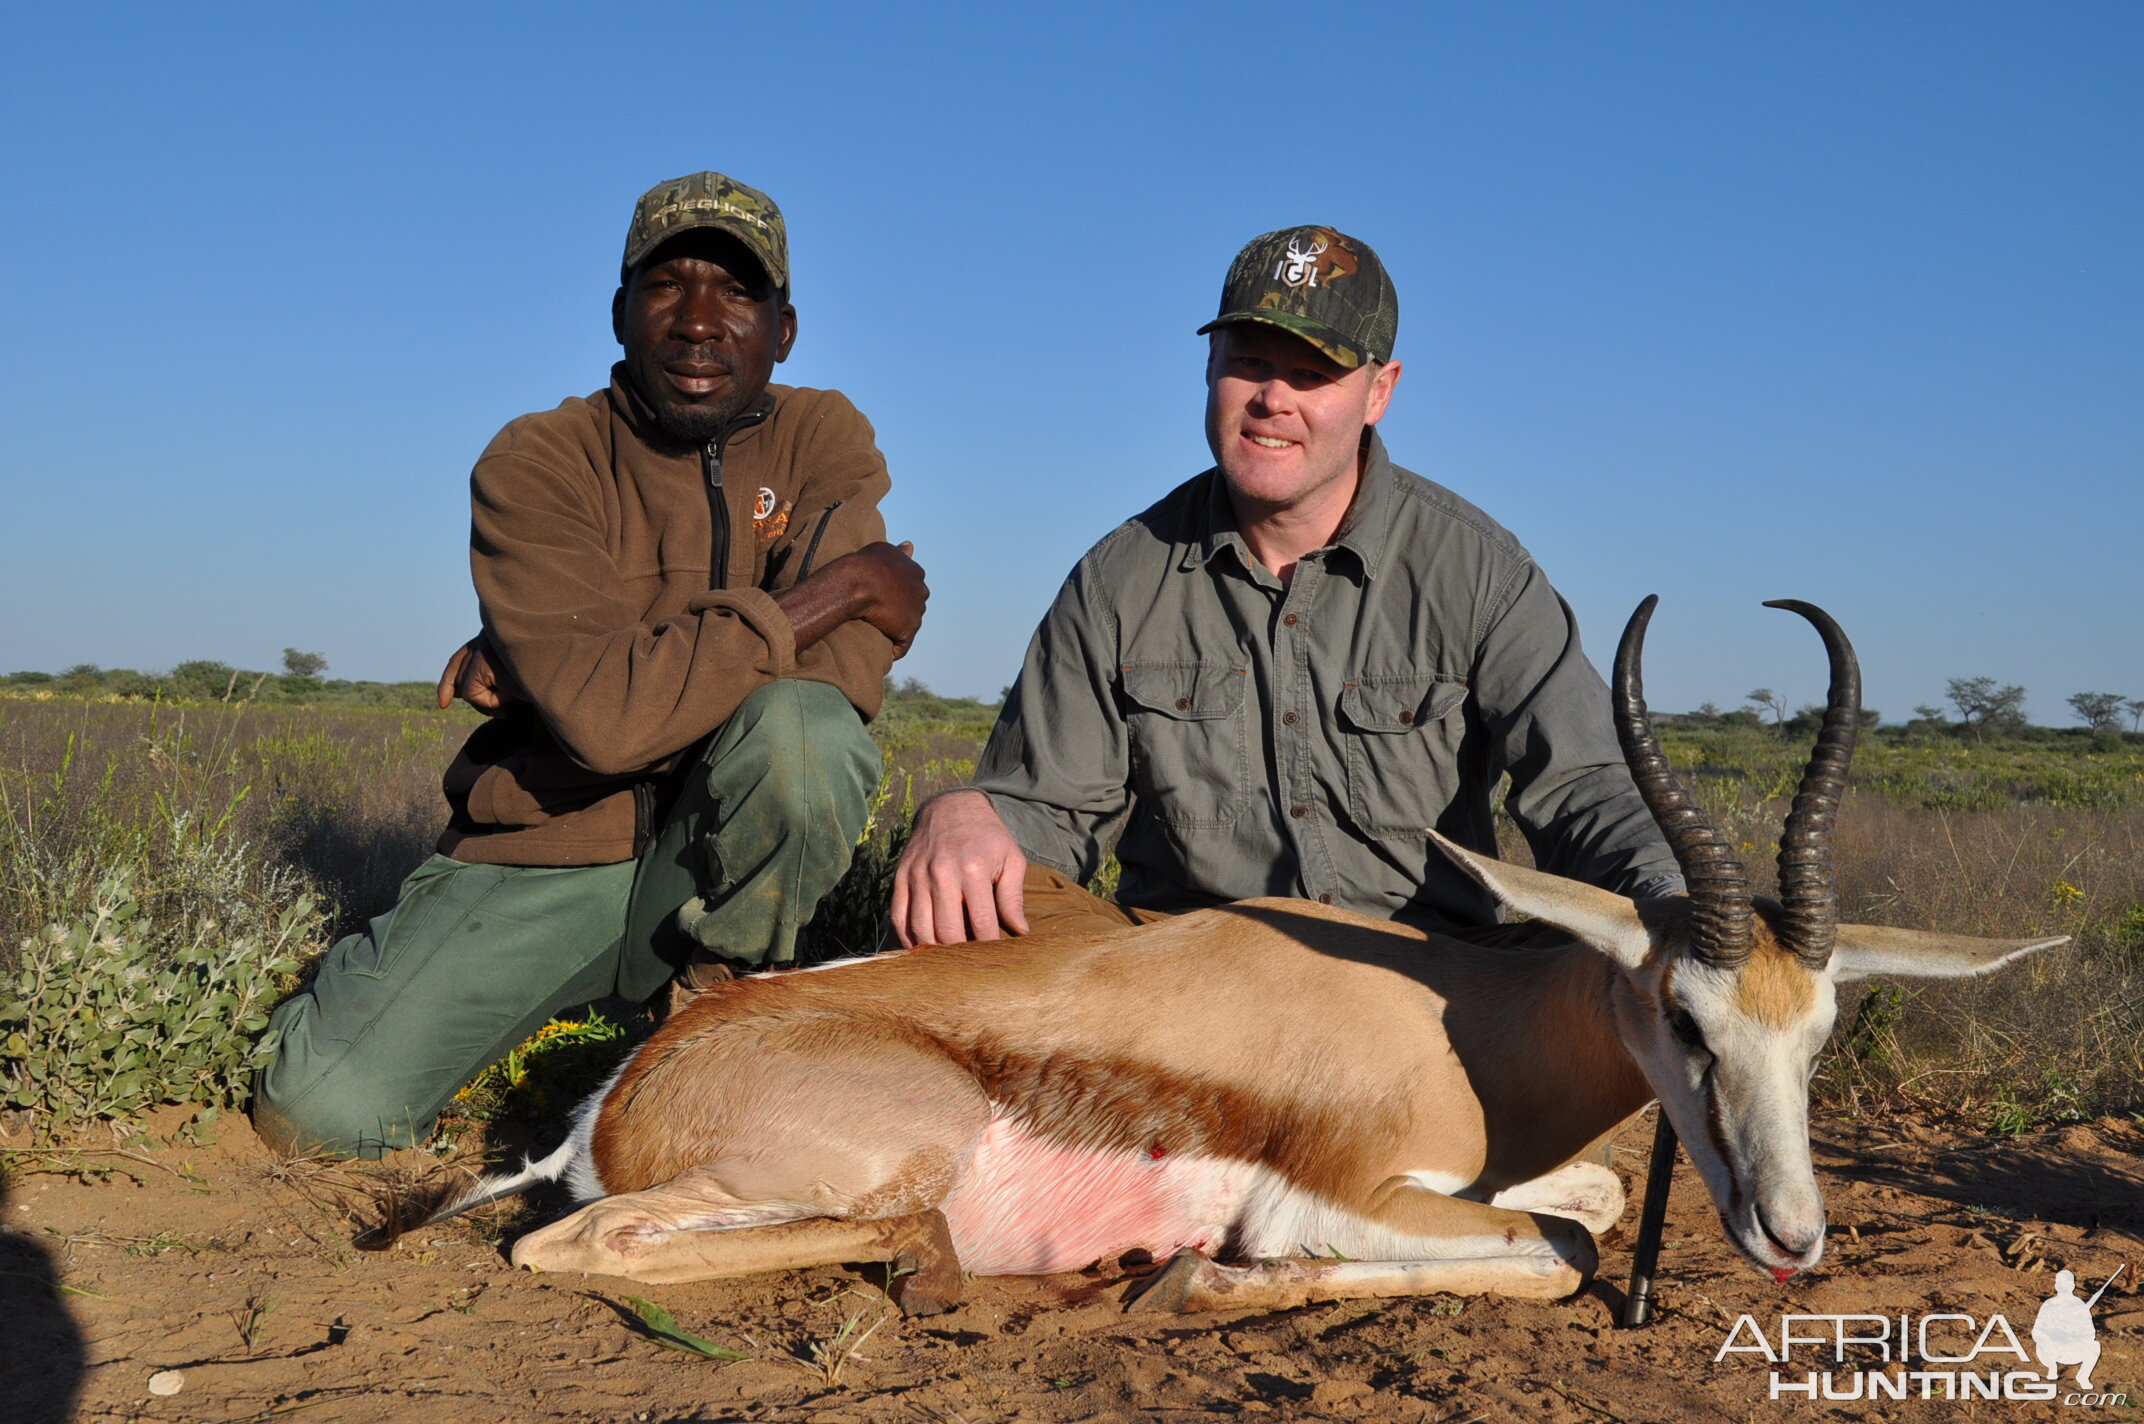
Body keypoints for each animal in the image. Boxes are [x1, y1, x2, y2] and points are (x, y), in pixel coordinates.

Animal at [394, 596, 2066, 1312]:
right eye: (1685, 1018)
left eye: (1822, 1031)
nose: (1794, 1237)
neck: (1459, 1021)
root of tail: (614, 1103)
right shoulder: (1339, 1193)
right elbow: (1567, 1249)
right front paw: (1205, 1280)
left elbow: (1583, 1206)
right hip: (880, 1150)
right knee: (577, 1246)